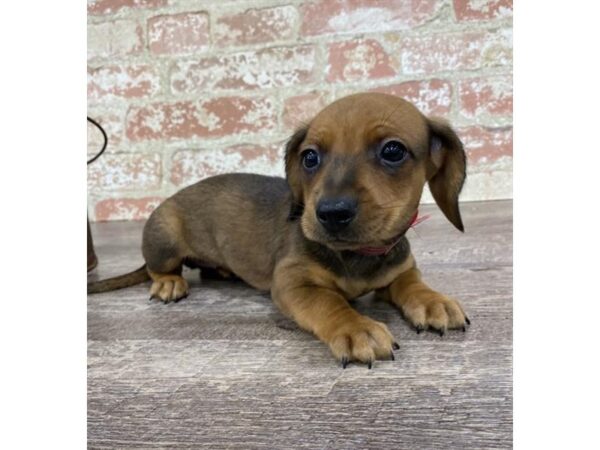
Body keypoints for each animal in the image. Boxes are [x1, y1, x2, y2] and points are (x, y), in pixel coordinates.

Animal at [90, 93, 474, 368]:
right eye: (310, 157)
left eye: (393, 151)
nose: (331, 214)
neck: (357, 256)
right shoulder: (292, 281)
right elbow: (328, 301)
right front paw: (356, 327)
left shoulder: (401, 268)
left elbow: (411, 283)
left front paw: (433, 301)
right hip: (165, 234)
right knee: (159, 268)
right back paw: (169, 282)